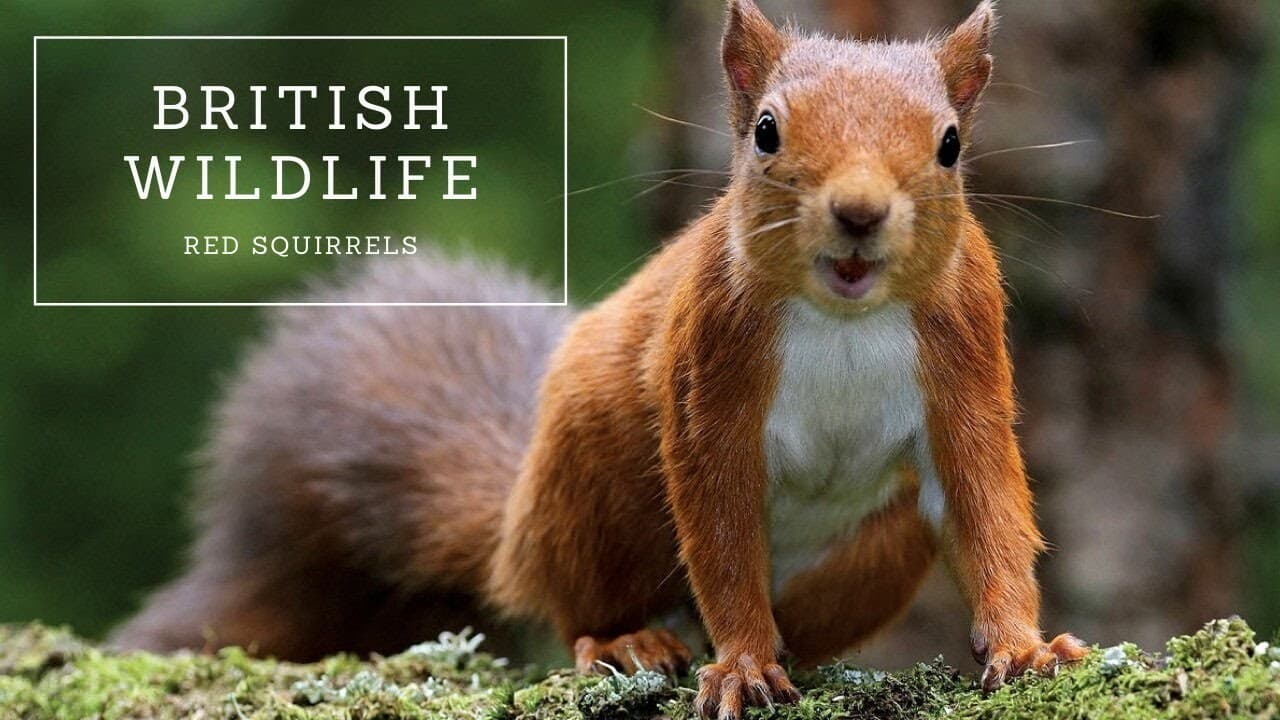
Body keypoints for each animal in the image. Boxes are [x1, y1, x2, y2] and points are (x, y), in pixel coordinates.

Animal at [112, 2, 1088, 717]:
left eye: (950, 142)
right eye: (767, 131)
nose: (858, 213)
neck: (845, 316)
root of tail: (517, 533)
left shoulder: (967, 355)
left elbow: (988, 506)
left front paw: (1023, 645)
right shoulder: (708, 367)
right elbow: (720, 531)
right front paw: (741, 662)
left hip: (877, 549)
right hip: (594, 490)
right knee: (582, 606)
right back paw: (627, 641)